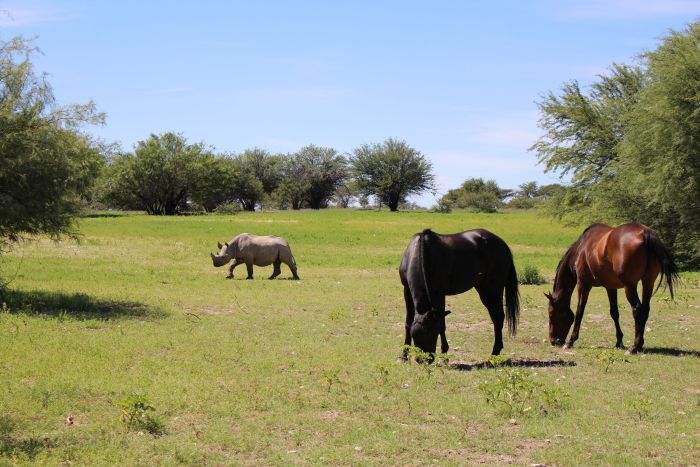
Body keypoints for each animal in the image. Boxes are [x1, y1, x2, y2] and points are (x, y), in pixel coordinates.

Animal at [400, 229, 520, 360]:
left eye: (432, 333)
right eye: (416, 336)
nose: (424, 360)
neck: (422, 253)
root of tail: (503, 244)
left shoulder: (439, 295)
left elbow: (442, 324)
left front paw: (444, 354)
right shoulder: (407, 290)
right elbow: (408, 322)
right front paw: (404, 355)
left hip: (492, 290)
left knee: (497, 317)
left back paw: (495, 353)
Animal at [548, 224, 680, 354]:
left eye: (551, 313)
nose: (553, 341)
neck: (580, 249)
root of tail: (646, 233)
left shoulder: (583, 284)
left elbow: (579, 311)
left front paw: (570, 341)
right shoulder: (610, 287)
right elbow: (614, 313)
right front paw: (619, 342)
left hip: (630, 286)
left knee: (637, 310)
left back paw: (634, 347)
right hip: (648, 282)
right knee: (645, 310)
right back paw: (639, 345)